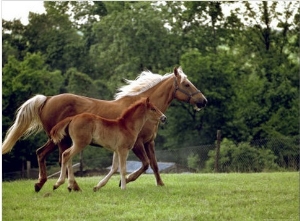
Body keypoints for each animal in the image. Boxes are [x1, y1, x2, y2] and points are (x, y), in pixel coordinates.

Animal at [2, 66, 207, 192]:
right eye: (187, 84)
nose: (203, 101)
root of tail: (47, 99)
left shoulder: (150, 142)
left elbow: (155, 165)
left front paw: (161, 184)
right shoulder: (137, 144)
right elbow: (144, 164)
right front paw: (124, 181)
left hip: (56, 139)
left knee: (42, 153)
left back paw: (41, 184)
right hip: (62, 140)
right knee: (62, 158)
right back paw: (71, 186)